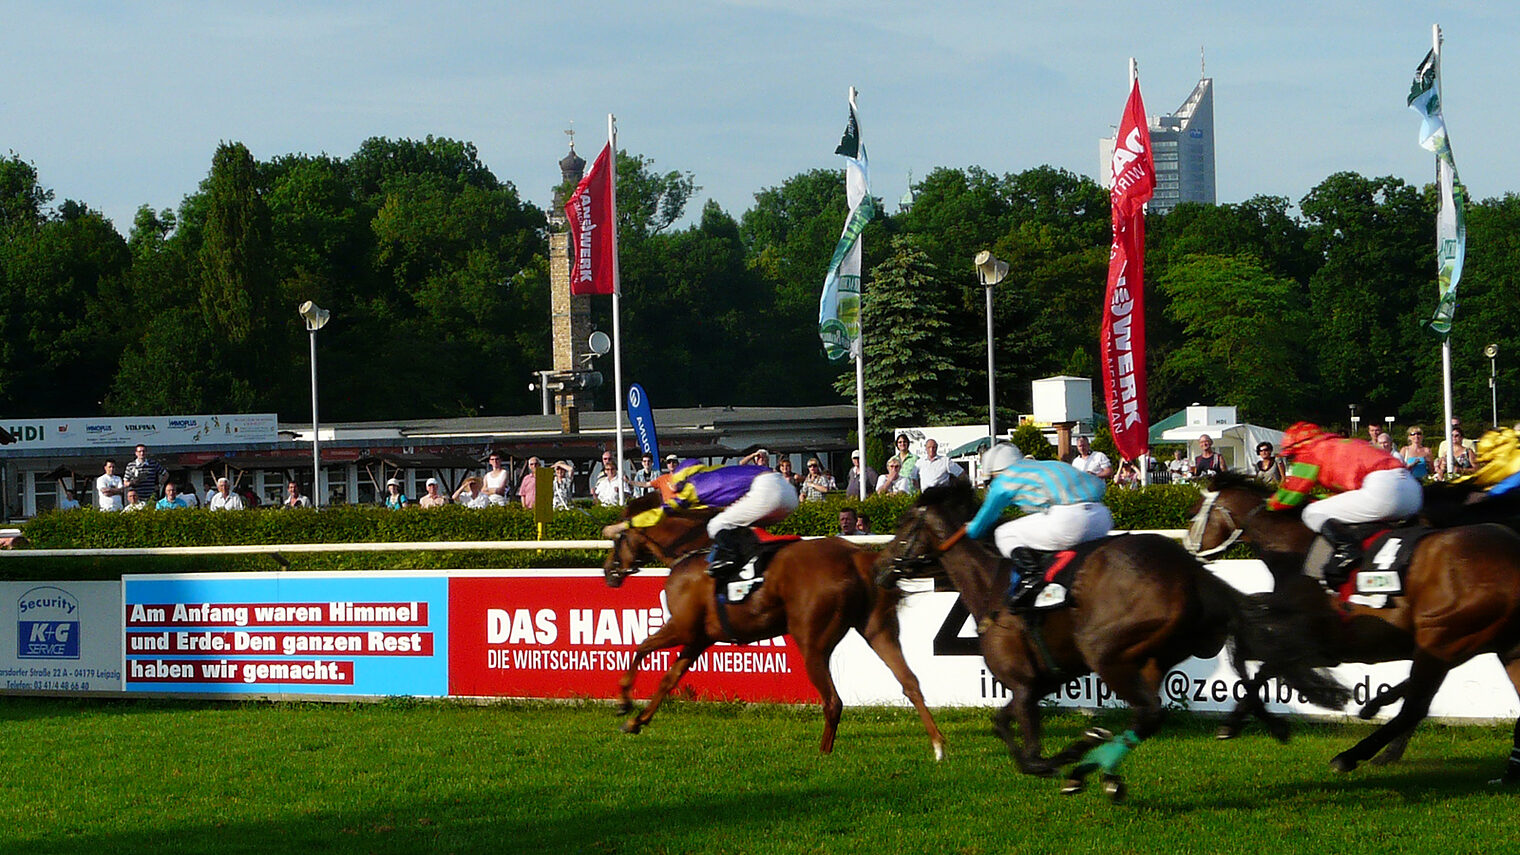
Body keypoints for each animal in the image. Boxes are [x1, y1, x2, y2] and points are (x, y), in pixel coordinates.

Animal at [598, 495, 942, 754]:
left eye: (618, 538)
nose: (608, 572)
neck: (690, 552)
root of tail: (857, 556)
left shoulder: (682, 627)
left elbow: (640, 648)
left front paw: (624, 702)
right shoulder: (700, 637)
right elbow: (669, 679)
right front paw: (637, 721)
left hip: (812, 642)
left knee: (833, 701)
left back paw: (823, 755)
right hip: (877, 629)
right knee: (910, 682)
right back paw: (938, 745)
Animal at [875, 483, 1349, 797]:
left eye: (902, 525)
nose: (880, 567)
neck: (990, 585)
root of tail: (1192, 571)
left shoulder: (1025, 686)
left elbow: (1032, 757)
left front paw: (1072, 752)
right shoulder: (1037, 684)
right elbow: (1000, 724)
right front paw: (1083, 748)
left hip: (1107, 652)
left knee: (1149, 712)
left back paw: (1091, 766)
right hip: (1155, 656)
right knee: (1152, 714)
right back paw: (1104, 769)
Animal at [1185, 468, 1520, 785]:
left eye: (1193, 514)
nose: (1188, 552)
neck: (1296, 552)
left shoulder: (1311, 640)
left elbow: (1252, 659)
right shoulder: (1311, 644)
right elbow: (1254, 661)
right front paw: (1244, 721)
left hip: (1443, 638)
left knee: (1414, 708)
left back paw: (1351, 755)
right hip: (1498, 646)